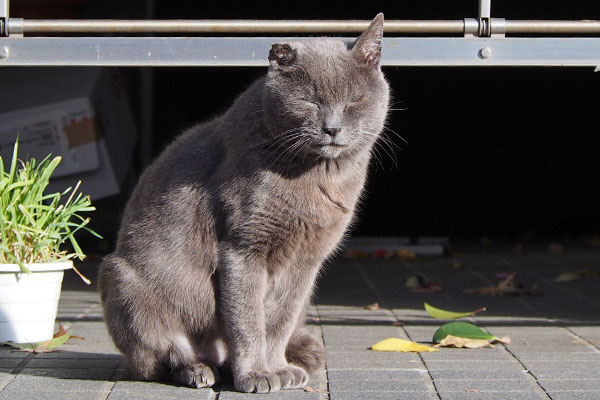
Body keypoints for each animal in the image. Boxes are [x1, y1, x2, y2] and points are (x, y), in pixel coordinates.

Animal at [98, 12, 390, 394]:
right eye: (310, 101)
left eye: (354, 100)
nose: (332, 128)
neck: (320, 176)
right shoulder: (243, 247)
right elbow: (248, 318)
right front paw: (257, 374)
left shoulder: (305, 262)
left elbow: (279, 320)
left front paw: (278, 368)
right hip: (122, 279)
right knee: (160, 358)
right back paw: (197, 371)